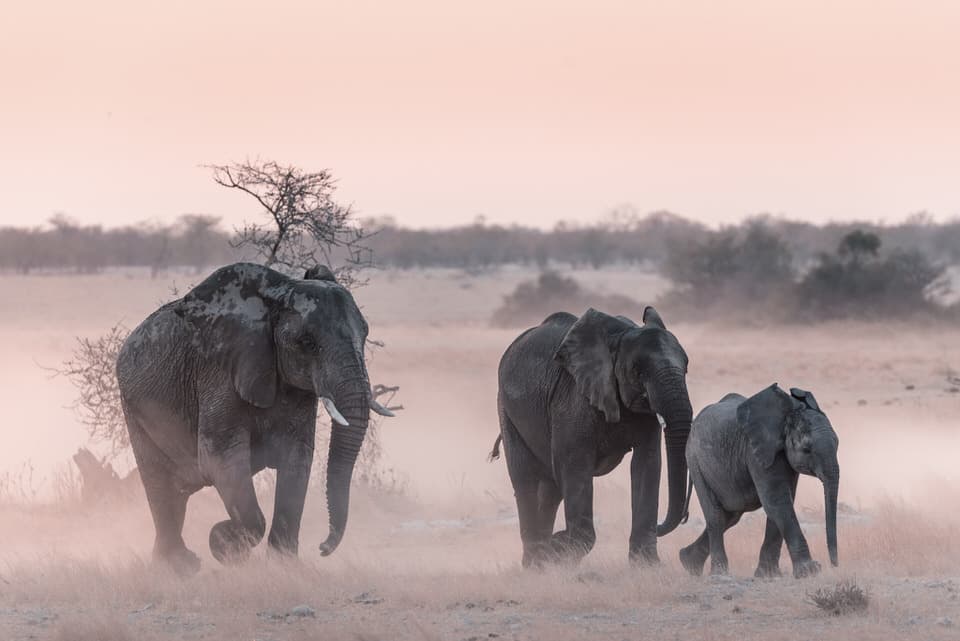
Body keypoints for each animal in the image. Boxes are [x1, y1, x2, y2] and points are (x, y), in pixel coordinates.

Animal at [117, 262, 394, 572]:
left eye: (366, 335)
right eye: (306, 343)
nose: (323, 547)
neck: (279, 294)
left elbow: (297, 459)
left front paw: (284, 565)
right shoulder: (218, 372)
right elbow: (221, 459)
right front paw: (223, 544)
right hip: (135, 409)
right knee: (160, 484)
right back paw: (181, 567)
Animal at [496, 306, 688, 564]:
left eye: (686, 367)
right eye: (638, 372)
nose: (662, 525)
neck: (621, 336)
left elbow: (646, 463)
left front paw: (647, 566)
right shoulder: (573, 398)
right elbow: (575, 467)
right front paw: (559, 547)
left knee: (551, 488)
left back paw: (543, 560)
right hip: (507, 411)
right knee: (525, 478)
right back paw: (537, 560)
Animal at [680, 382, 836, 576]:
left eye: (838, 444)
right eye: (807, 449)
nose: (834, 565)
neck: (786, 414)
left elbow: (781, 501)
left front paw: (768, 575)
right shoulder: (755, 452)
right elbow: (777, 500)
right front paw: (809, 571)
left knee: (730, 516)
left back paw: (688, 563)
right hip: (696, 461)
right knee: (716, 516)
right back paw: (718, 573)